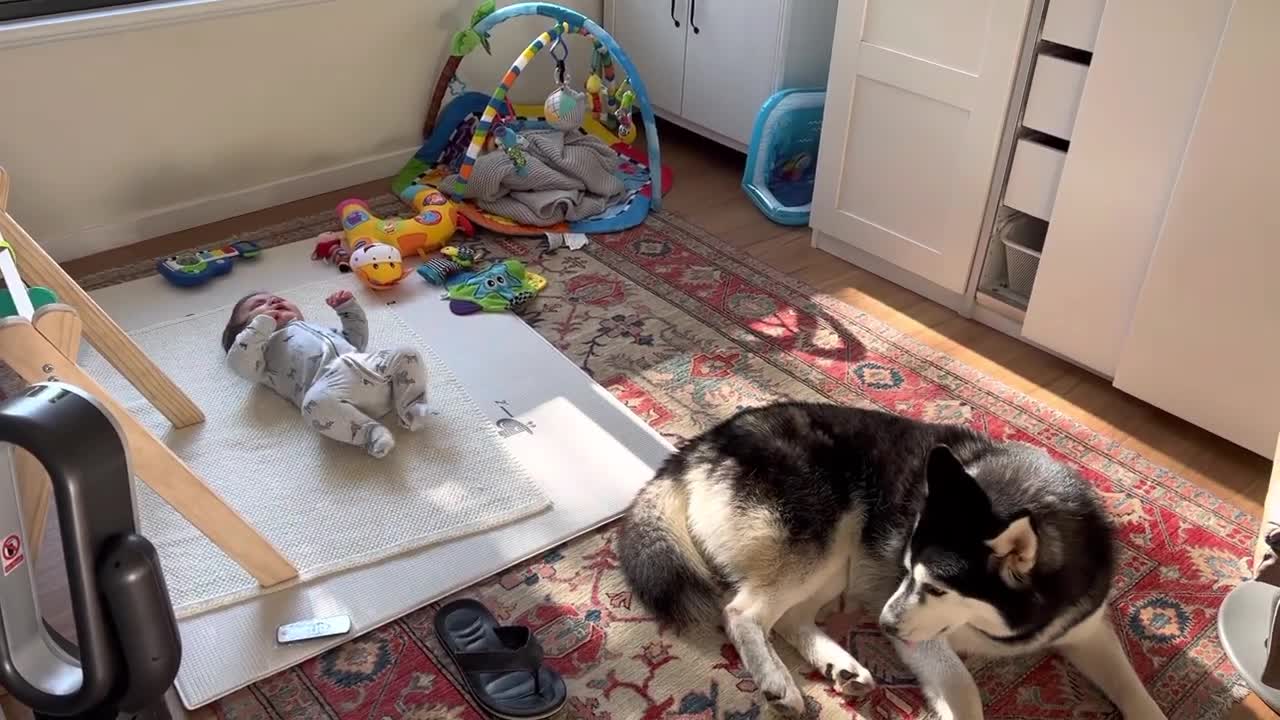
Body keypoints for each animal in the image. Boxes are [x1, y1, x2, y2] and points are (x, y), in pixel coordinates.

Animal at [614, 404, 1167, 717]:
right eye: (906, 570)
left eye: (938, 588)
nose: (881, 626)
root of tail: (705, 441)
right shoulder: (919, 634)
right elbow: (963, 688)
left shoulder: (1086, 630)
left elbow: (1141, 696)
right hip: (826, 534)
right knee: (744, 613)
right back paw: (777, 680)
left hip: (838, 559)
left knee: (788, 619)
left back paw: (840, 665)